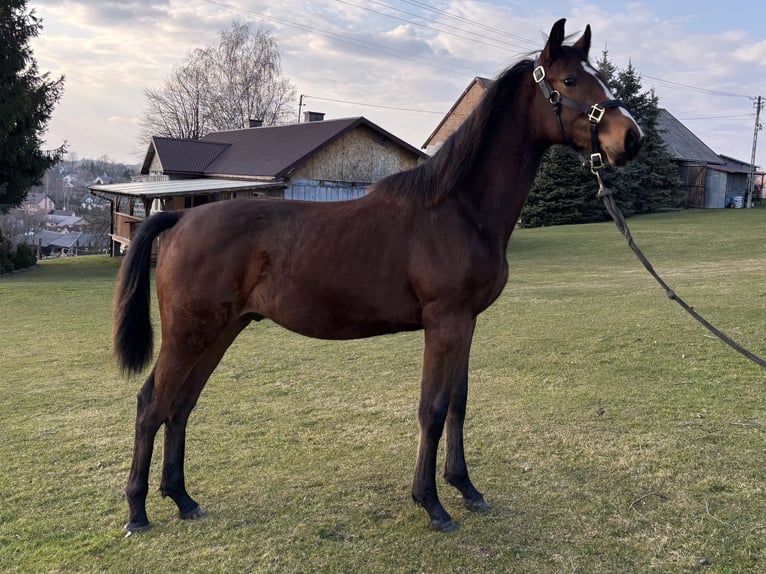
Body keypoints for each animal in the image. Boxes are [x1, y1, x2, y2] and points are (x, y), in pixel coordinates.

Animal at [114, 18, 643, 533]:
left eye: (600, 77)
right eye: (570, 81)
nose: (631, 138)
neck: (457, 209)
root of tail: (179, 218)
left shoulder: (467, 323)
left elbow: (458, 403)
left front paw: (466, 488)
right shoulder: (445, 323)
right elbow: (432, 410)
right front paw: (431, 503)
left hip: (221, 330)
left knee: (181, 405)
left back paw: (183, 499)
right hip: (189, 333)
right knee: (151, 404)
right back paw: (138, 512)